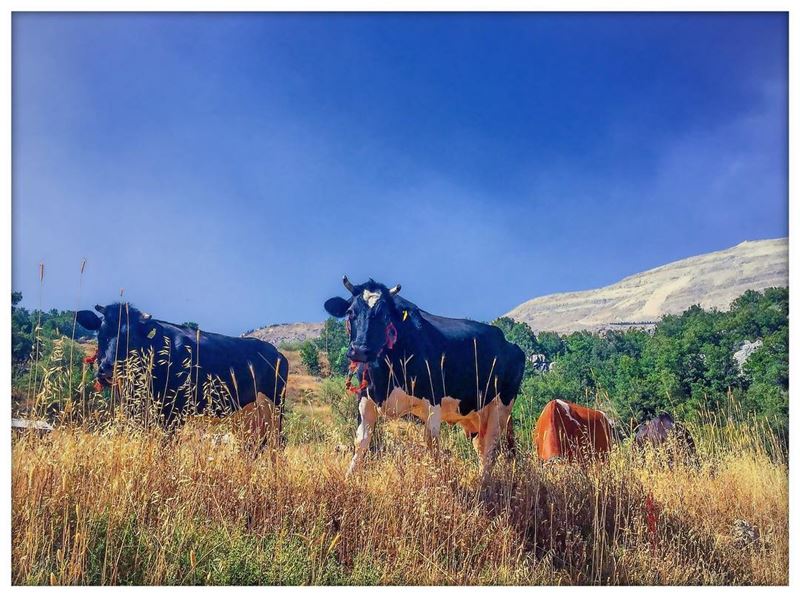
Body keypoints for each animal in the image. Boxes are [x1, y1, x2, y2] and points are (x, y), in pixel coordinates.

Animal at [76, 302, 288, 448]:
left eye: (132, 337)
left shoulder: (174, 412)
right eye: (100, 333)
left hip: (276, 407)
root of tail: (277, 353)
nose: (107, 368)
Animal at [322, 278, 528, 478]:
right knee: (481, 447)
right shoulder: (365, 398)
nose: (360, 350)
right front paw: (349, 477)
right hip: (474, 416)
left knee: (490, 449)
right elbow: (361, 441)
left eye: (384, 316)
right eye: (350, 312)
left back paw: (483, 484)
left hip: (500, 408)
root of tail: (508, 342)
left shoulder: (433, 401)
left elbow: (432, 445)